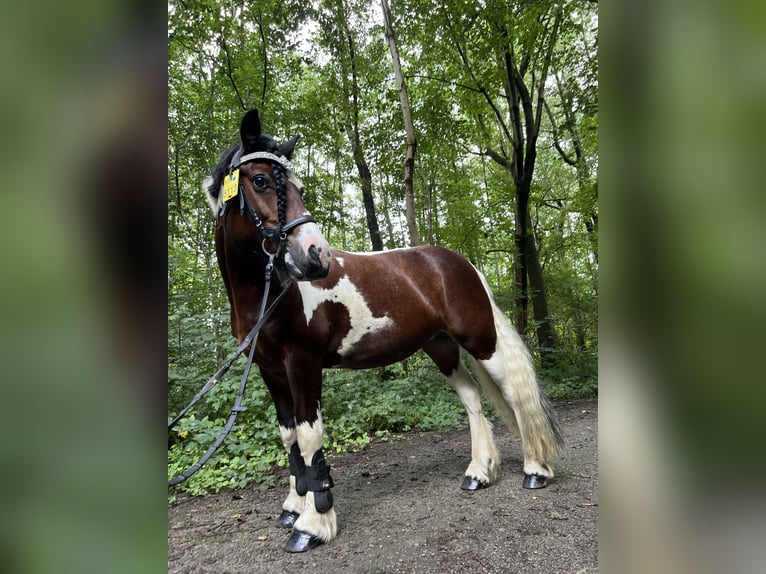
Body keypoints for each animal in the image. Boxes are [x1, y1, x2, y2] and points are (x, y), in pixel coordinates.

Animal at [203, 109, 564, 553]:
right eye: (260, 181)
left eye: (298, 186)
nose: (317, 256)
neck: (272, 292)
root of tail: (460, 263)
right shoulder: (269, 369)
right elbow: (289, 439)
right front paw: (292, 507)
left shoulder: (303, 363)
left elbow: (309, 437)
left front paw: (312, 524)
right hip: (441, 347)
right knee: (472, 397)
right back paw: (479, 472)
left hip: (482, 342)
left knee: (514, 394)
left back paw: (535, 470)